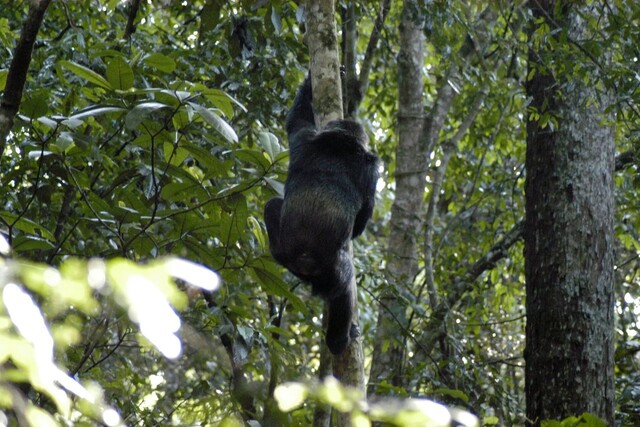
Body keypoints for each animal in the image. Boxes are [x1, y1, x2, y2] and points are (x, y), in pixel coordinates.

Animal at [262, 72, 378, 354]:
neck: (339, 144)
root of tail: (305, 258)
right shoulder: (371, 170)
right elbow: (362, 219)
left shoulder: (303, 137)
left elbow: (296, 119)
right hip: (332, 268)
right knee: (345, 285)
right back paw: (339, 340)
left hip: (287, 254)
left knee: (271, 205)